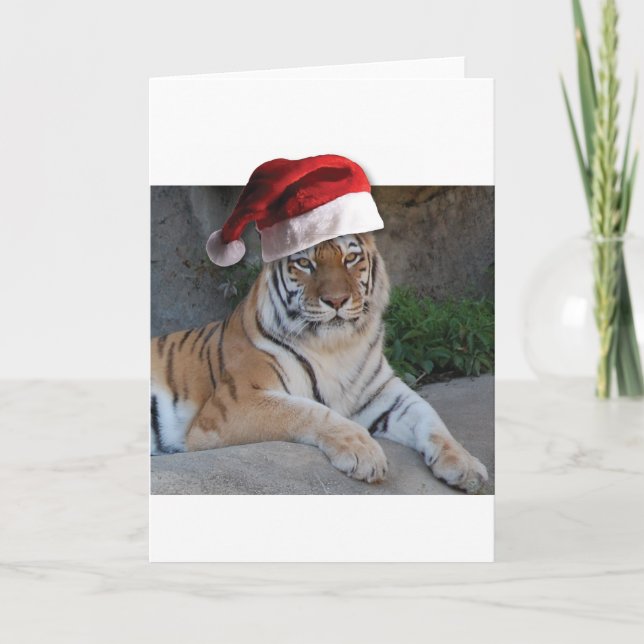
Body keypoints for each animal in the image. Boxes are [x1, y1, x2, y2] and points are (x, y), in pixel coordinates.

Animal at [151, 232, 488, 493]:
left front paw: (466, 465)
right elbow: (309, 411)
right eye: (304, 263)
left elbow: (431, 418)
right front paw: (364, 452)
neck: (336, 346)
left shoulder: (384, 393)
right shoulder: (232, 404)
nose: (336, 300)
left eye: (350, 259)